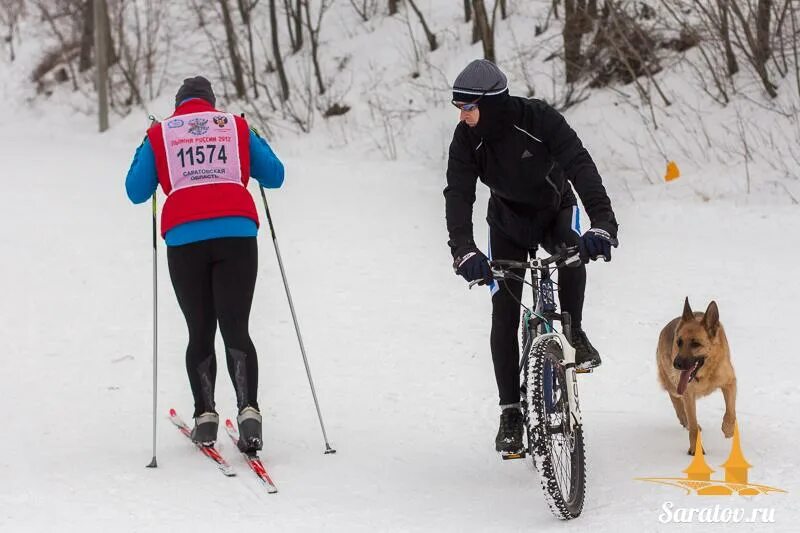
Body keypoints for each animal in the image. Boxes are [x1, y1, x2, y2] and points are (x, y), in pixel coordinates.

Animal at [656, 300, 736, 454]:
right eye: (679, 342)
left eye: (695, 344)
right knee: (674, 397)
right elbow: (693, 426)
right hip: (672, 383)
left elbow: (730, 410)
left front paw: (728, 429)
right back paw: (683, 418)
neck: (706, 373)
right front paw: (695, 449)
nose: (676, 364)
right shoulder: (688, 394)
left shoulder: (730, 382)